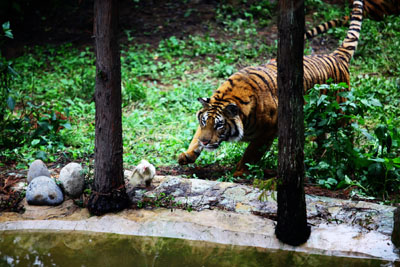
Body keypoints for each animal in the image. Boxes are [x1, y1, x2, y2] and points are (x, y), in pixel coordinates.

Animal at [177, 0, 362, 178]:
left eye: (219, 125)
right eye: (204, 121)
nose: (205, 142)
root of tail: (335, 56)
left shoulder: (268, 132)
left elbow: (251, 153)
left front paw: (239, 172)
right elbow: (195, 136)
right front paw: (187, 155)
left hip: (340, 111)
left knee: (349, 129)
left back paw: (349, 157)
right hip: (319, 117)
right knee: (322, 135)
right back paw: (318, 157)